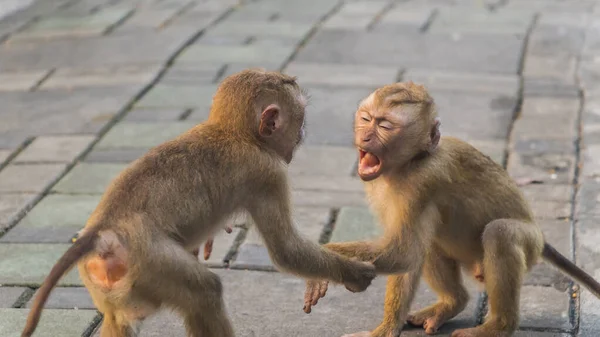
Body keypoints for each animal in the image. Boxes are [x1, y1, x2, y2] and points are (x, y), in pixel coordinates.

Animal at [21, 68, 376, 336]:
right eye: (299, 122)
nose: (302, 136)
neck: (232, 131)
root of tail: (104, 231)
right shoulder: (268, 172)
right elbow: (286, 250)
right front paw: (352, 273)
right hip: (151, 261)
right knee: (204, 291)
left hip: (107, 279)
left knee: (119, 320)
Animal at [302, 82, 600, 336]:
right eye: (365, 119)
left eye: (385, 125)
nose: (364, 137)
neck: (410, 163)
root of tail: (540, 236)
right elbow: (407, 254)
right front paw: (388, 325)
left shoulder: (421, 182)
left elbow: (403, 251)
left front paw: (329, 259)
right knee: (432, 239)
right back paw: (452, 303)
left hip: (529, 245)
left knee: (500, 233)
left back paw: (498, 326)